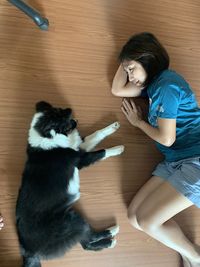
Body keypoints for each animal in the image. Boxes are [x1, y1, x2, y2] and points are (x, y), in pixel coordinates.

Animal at [16, 102, 124, 267]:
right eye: (60, 117)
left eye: (58, 109)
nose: (70, 110)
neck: (45, 134)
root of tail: (27, 251)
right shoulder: (81, 159)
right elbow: (101, 152)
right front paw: (117, 149)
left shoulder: (79, 146)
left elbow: (96, 134)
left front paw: (113, 126)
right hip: (72, 221)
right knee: (89, 237)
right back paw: (111, 232)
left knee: (86, 243)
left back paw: (109, 240)